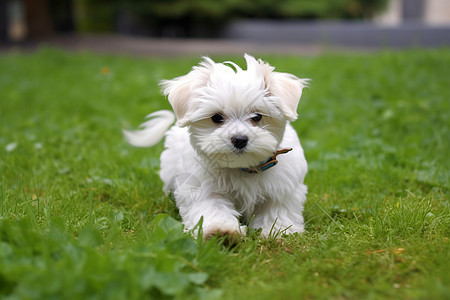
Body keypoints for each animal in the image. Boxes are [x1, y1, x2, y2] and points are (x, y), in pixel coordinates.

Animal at [126, 54, 310, 239]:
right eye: (216, 117)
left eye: (257, 116)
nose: (239, 139)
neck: (243, 168)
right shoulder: (203, 189)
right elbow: (212, 208)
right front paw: (220, 231)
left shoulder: (282, 188)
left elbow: (277, 210)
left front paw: (279, 232)